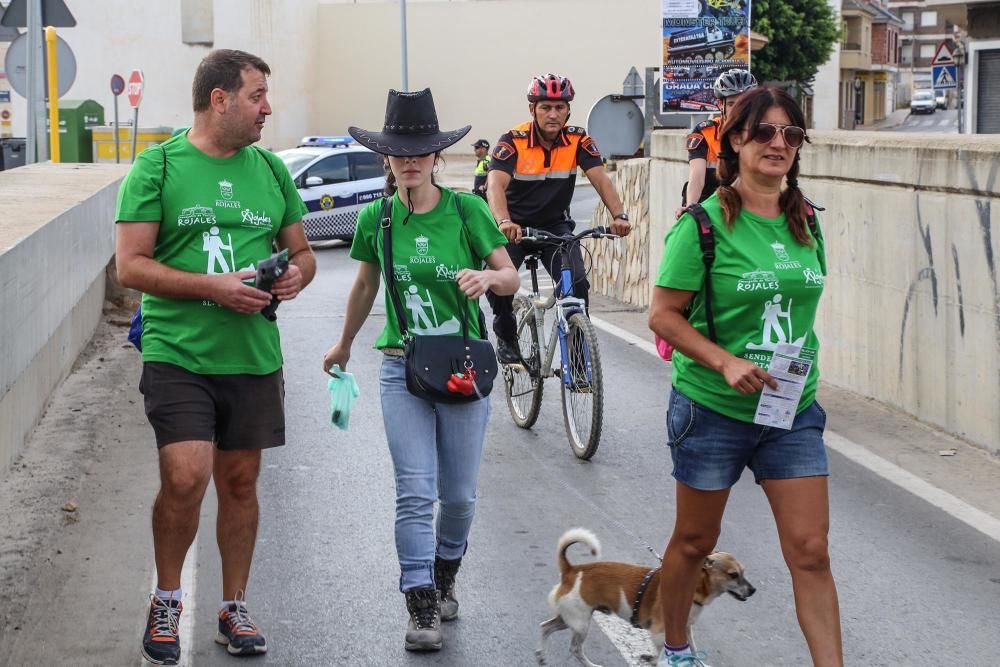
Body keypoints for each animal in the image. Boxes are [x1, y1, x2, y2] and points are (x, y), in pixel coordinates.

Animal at [536, 528, 752, 664]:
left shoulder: (686, 629)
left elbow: (692, 649)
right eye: (733, 574)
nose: (753, 590)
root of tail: (572, 570)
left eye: (744, 572)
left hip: (569, 618)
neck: (695, 587)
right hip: (581, 623)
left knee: (545, 627)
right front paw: (654, 660)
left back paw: (541, 656)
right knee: (575, 650)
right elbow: (662, 653)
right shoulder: (659, 633)